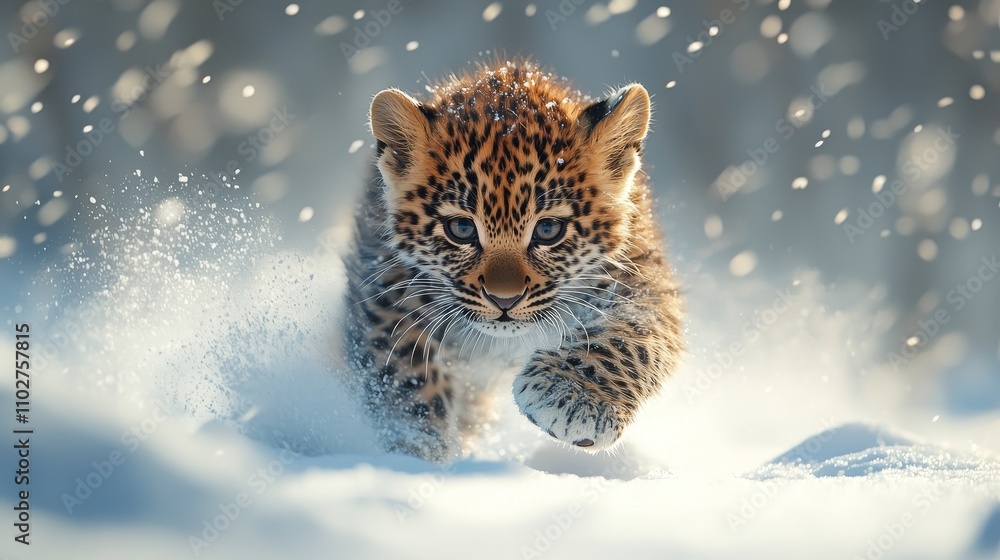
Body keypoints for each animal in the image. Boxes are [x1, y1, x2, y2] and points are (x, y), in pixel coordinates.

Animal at [342, 59, 683, 462]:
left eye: (548, 230)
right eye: (461, 228)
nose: (504, 300)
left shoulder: (636, 273)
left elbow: (630, 334)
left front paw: (574, 396)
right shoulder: (387, 285)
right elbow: (404, 372)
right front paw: (422, 451)